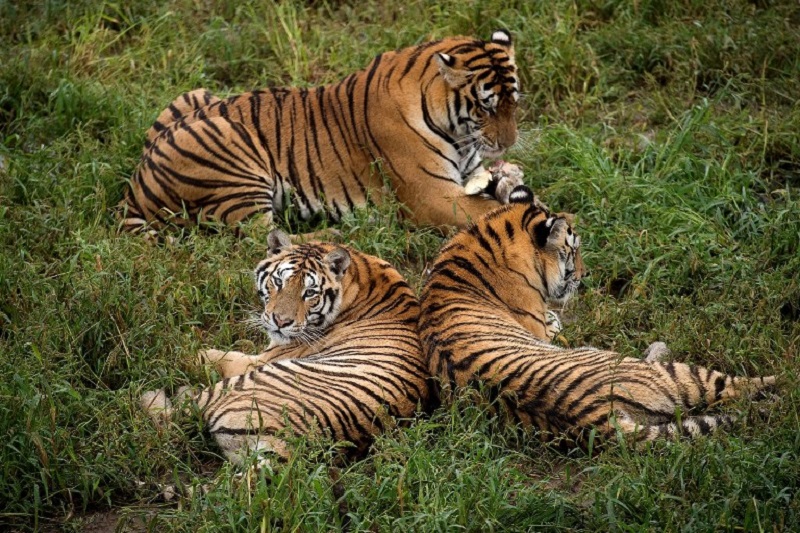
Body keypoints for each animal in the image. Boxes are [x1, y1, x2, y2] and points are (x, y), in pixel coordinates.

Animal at [122, 30, 524, 236]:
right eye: (486, 108)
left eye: (514, 103)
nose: (508, 143)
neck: (459, 132)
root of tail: (137, 185)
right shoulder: (431, 196)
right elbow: (496, 211)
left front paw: (511, 180)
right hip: (232, 154)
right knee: (259, 238)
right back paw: (335, 235)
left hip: (195, 95)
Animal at [141, 229, 430, 463]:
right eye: (278, 282)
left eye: (310, 293)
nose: (281, 321)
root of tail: (291, 443)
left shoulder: (260, 359)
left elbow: (211, 355)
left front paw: (180, 351)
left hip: (235, 388)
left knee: (172, 413)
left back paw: (156, 394)